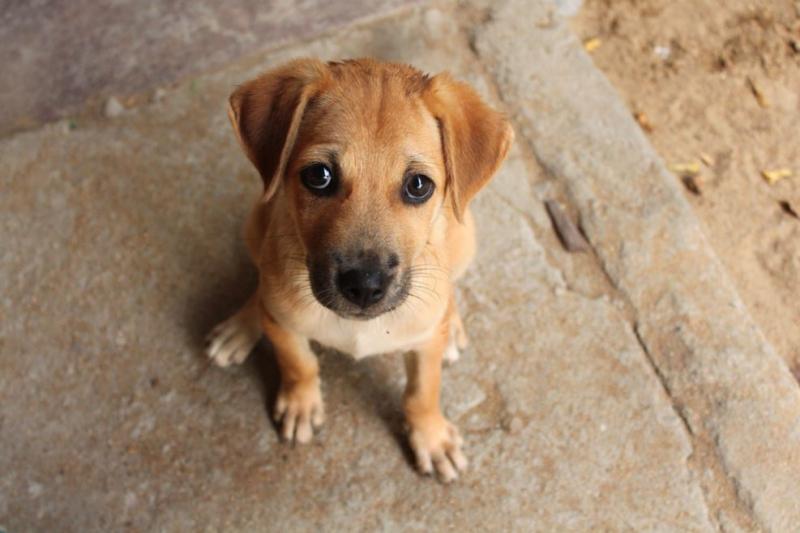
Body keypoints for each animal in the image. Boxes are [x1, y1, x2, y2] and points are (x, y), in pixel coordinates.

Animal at [206, 58, 512, 482]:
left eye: (419, 185)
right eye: (318, 176)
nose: (365, 287)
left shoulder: (423, 349)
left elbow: (422, 392)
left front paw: (431, 438)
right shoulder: (285, 327)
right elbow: (299, 364)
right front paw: (301, 403)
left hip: (465, 239)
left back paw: (451, 326)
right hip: (256, 219)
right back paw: (242, 324)